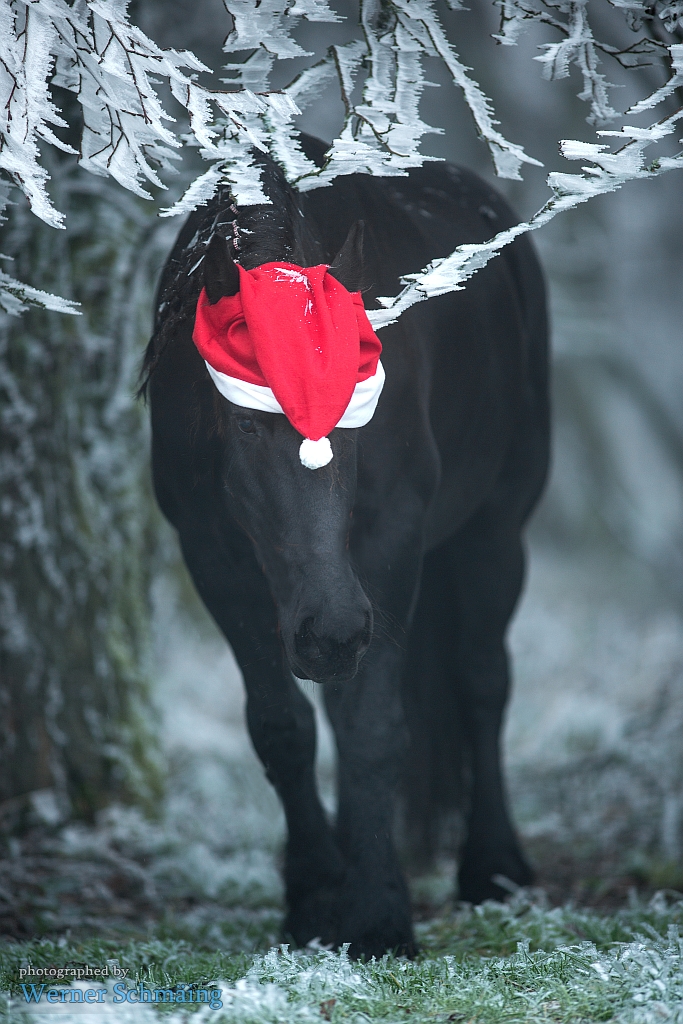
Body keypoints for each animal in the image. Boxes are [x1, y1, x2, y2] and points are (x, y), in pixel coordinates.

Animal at [143, 136, 548, 958]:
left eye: (359, 414)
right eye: (247, 424)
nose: (331, 632)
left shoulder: (389, 545)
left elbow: (372, 728)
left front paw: (379, 916)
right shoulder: (213, 554)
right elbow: (282, 728)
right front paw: (314, 899)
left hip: (494, 531)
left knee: (482, 682)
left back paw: (493, 867)